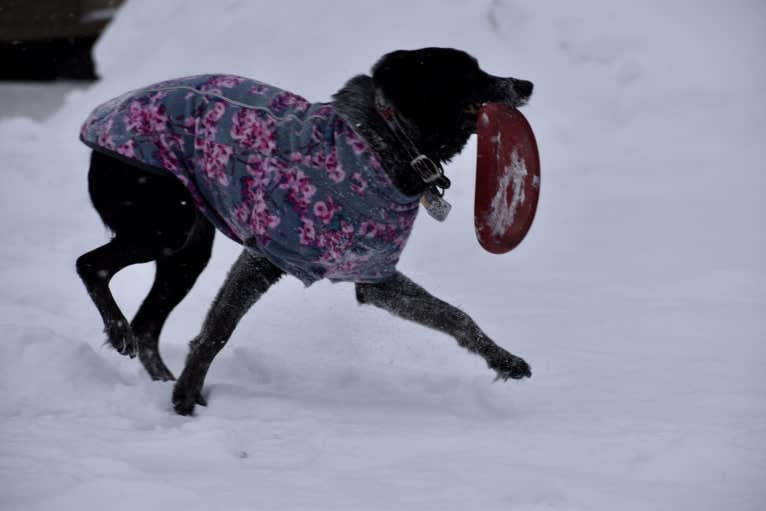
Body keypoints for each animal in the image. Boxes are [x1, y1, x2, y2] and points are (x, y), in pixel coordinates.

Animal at [76, 48, 536, 416]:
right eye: (468, 74)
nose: (526, 84)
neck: (385, 143)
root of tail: (99, 119)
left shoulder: (374, 276)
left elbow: (454, 316)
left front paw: (504, 359)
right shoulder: (265, 256)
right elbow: (215, 333)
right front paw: (185, 403)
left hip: (188, 252)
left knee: (147, 327)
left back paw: (157, 375)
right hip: (166, 227)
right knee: (89, 266)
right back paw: (119, 333)